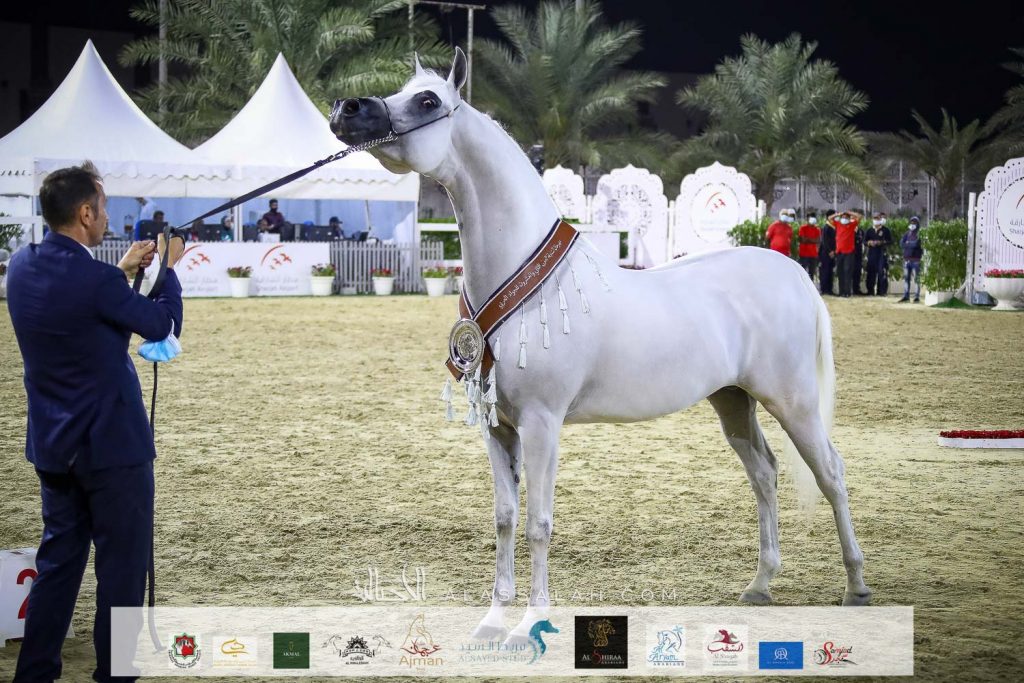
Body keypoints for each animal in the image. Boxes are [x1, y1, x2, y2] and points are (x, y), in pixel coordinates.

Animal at [329, 47, 872, 642]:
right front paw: (494, 620)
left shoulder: (542, 423)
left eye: (427, 100)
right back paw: (760, 584)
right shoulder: (499, 428)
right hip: (733, 400)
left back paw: (856, 587)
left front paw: (530, 623)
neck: (526, 283)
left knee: (832, 474)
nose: (346, 107)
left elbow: (539, 523)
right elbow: (505, 519)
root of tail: (794, 272)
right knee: (765, 473)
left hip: (793, 402)